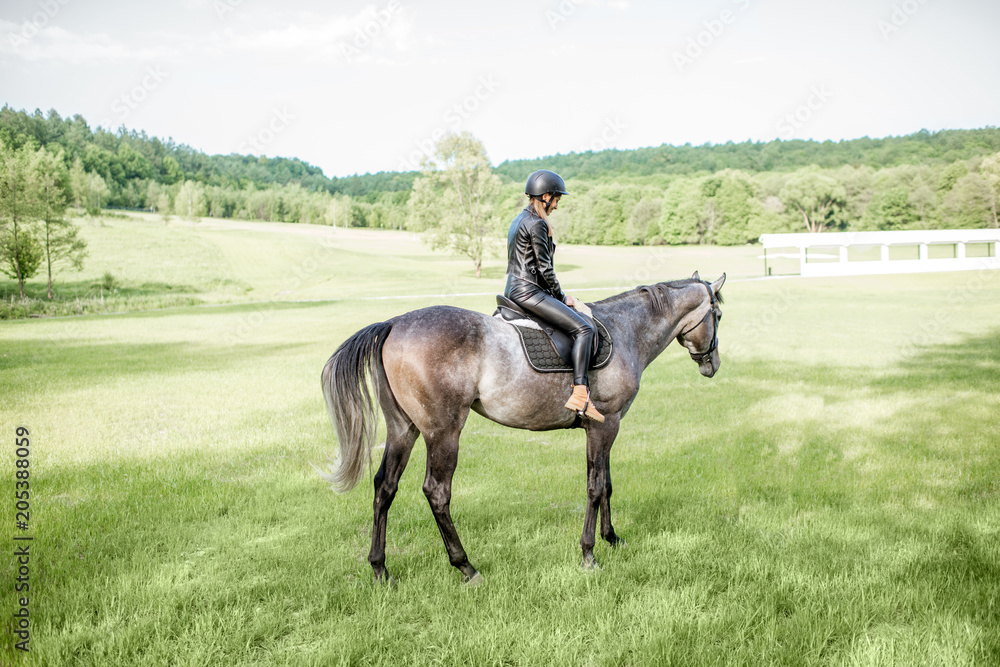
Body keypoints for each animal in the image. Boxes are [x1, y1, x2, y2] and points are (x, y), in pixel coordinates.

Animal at [324, 272, 724, 584]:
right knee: (436, 492)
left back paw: (380, 569)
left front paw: (612, 538)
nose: (713, 365)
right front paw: (589, 554)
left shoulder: (605, 428)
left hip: (403, 429)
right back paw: (466, 567)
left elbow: (606, 483)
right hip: (443, 433)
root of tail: (394, 323)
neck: (625, 330)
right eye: (718, 314)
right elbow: (595, 488)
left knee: (384, 487)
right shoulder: (605, 426)